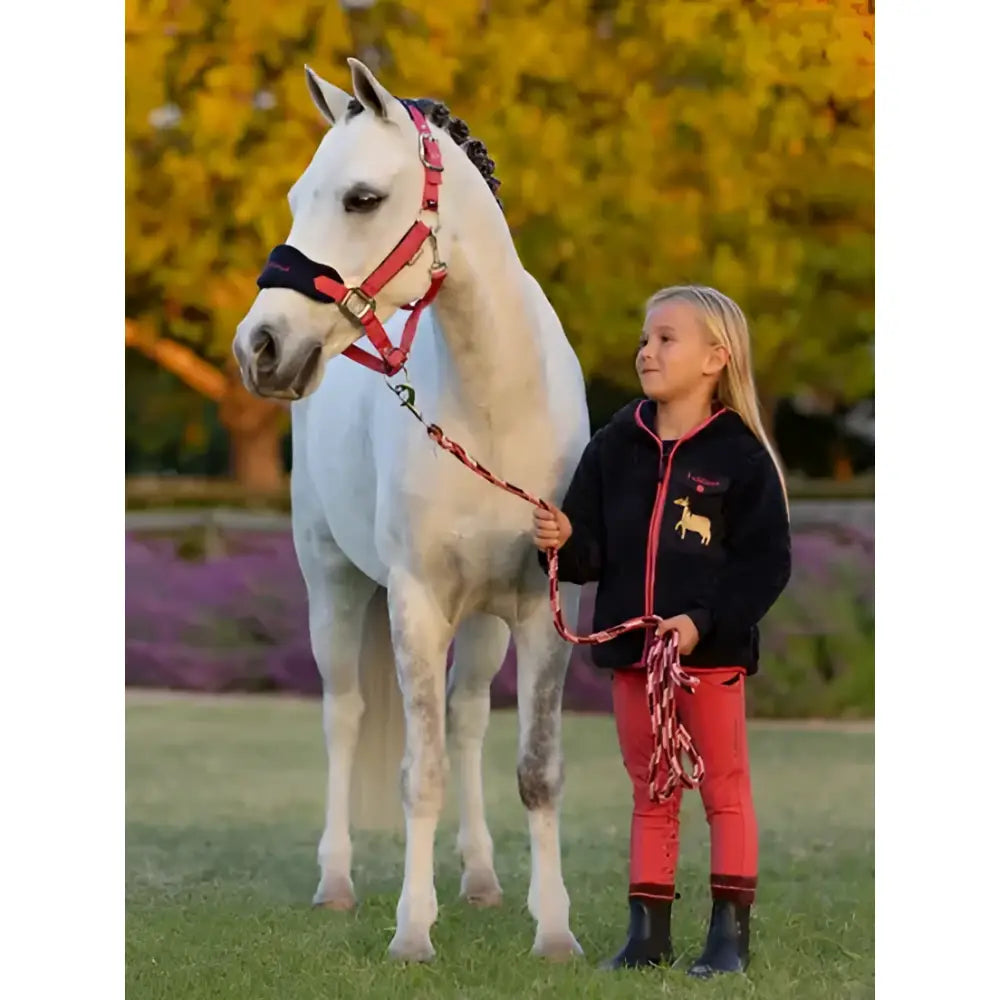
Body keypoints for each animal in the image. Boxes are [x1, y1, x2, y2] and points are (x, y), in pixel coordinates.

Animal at [232, 58, 591, 963]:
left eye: (361, 197)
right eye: (297, 196)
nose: (260, 348)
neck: (495, 411)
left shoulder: (547, 608)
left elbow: (536, 768)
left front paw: (555, 930)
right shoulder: (417, 605)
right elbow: (417, 773)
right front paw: (412, 930)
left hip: (487, 623)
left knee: (466, 721)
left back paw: (485, 879)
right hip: (333, 589)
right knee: (345, 718)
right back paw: (336, 884)